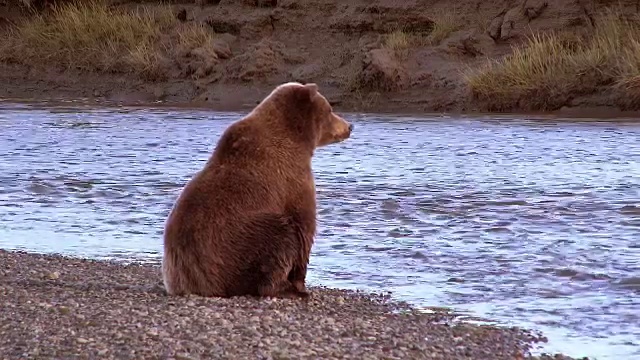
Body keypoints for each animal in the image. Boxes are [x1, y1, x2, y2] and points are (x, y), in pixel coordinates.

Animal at [160, 81, 350, 298]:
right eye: (330, 109)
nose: (349, 126)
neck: (297, 137)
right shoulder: (291, 177)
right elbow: (303, 227)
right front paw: (301, 284)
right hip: (238, 241)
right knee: (281, 236)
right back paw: (283, 287)